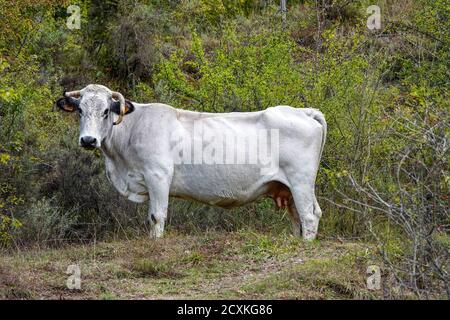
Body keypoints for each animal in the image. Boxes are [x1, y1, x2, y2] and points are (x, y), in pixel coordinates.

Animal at [57, 84, 326, 239]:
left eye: (105, 111)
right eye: (80, 110)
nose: (88, 140)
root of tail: (301, 111)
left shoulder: (158, 177)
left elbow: (156, 217)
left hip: (301, 181)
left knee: (309, 216)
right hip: (289, 188)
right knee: (300, 217)